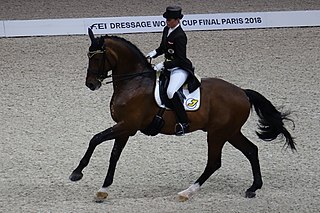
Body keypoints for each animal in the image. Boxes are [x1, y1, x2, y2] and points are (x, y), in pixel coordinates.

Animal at [69, 27, 296, 201]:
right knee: (251, 151)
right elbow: (114, 156)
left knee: (214, 162)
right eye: (88, 56)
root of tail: (242, 92)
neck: (134, 81)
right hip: (230, 132)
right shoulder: (125, 128)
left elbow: (95, 139)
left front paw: (77, 173)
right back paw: (253, 188)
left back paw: (186, 192)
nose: (91, 84)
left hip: (217, 134)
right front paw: (103, 190)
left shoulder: (128, 125)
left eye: (97, 57)